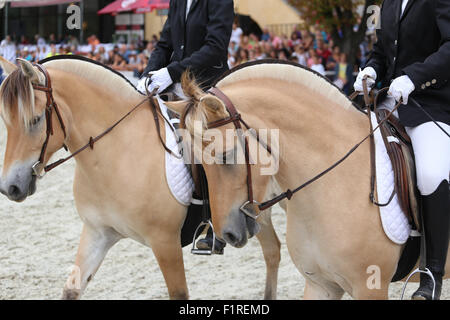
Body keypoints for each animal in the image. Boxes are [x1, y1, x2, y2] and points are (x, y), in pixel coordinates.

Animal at [0, 56, 282, 298]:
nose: (10, 187)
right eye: (6, 121)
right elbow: (71, 289)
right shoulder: (97, 232)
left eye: (35, 120)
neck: (118, 152)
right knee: (273, 251)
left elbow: (178, 293)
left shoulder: (165, 242)